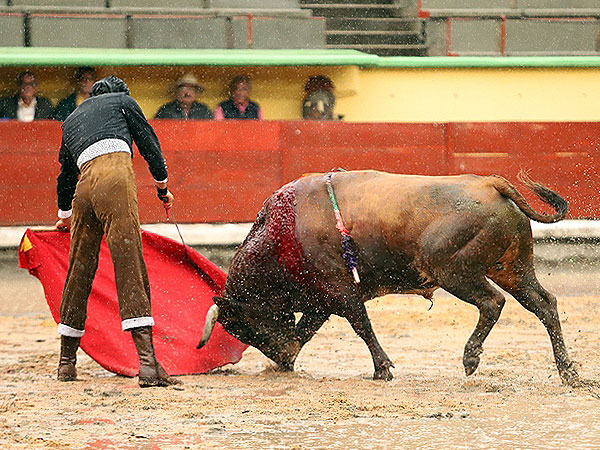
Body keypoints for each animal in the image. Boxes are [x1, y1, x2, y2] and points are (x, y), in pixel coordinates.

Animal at [198, 170, 580, 385]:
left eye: (243, 326)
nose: (281, 358)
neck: (281, 233)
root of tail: (491, 184)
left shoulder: (339, 289)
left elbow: (361, 325)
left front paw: (383, 369)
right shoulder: (321, 298)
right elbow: (307, 329)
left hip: (454, 271)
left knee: (492, 302)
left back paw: (471, 358)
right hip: (513, 269)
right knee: (545, 304)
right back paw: (568, 372)